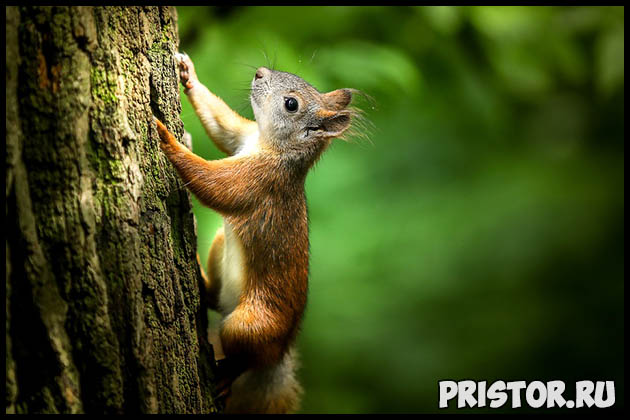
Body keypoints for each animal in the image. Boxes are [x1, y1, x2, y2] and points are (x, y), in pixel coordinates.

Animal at [152, 51, 360, 414]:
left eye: (291, 104)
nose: (260, 72)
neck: (269, 145)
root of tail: (278, 356)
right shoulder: (243, 137)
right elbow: (223, 127)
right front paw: (188, 73)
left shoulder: (260, 181)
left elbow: (213, 185)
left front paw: (167, 139)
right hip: (220, 248)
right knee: (215, 298)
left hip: (249, 326)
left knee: (245, 358)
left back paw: (227, 377)